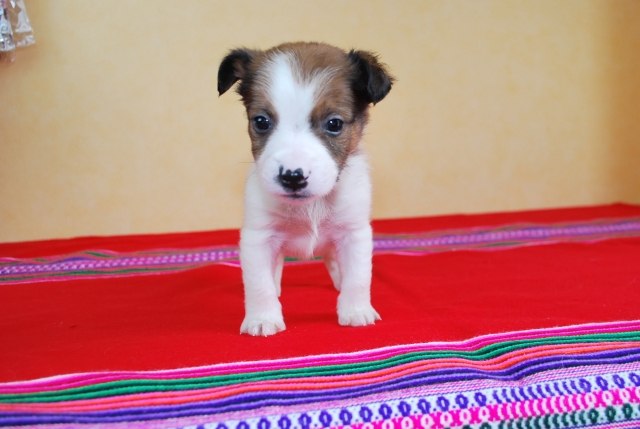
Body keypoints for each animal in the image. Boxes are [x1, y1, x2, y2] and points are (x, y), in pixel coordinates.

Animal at [217, 42, 393, 336]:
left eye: (334, 123)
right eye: (261, 121)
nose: (292, 177)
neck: (311, 206)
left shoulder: (354, 233)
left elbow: (358, 278)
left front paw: (355, 310)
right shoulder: (258, 237)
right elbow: (258, 284)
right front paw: (262, 318)